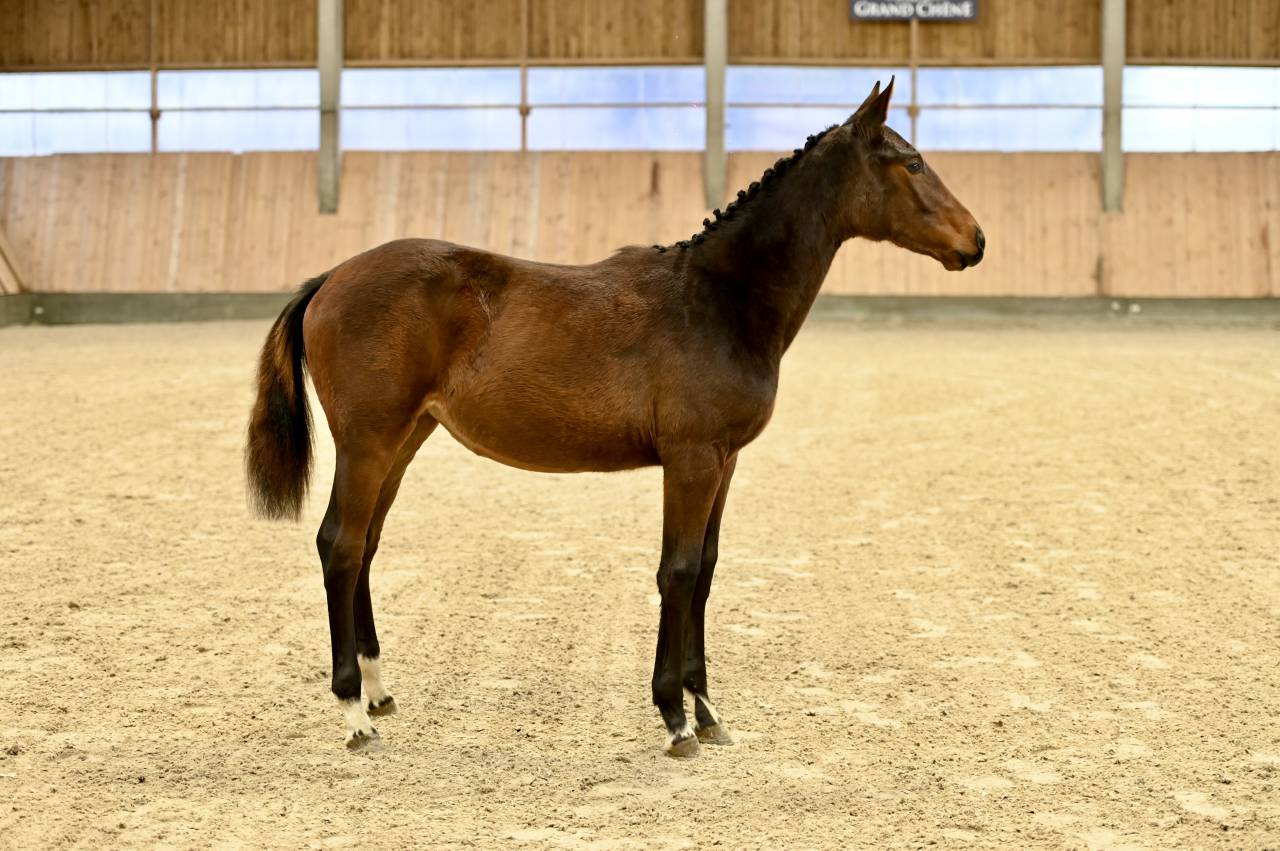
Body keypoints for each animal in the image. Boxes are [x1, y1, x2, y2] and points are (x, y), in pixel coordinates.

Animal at [245, 78, 983, 756]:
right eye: (913, 162)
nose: (975, 241)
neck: (719, 299)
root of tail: (331, 278)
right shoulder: (690, 460)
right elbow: (677, 571)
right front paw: (675, 715)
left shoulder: (724, 462)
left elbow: (705, 570)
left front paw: (707, 709)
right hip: (368, 444)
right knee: (340, 545)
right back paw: (354, 713)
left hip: (403, 441)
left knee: (366, 545)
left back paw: (377, 689)